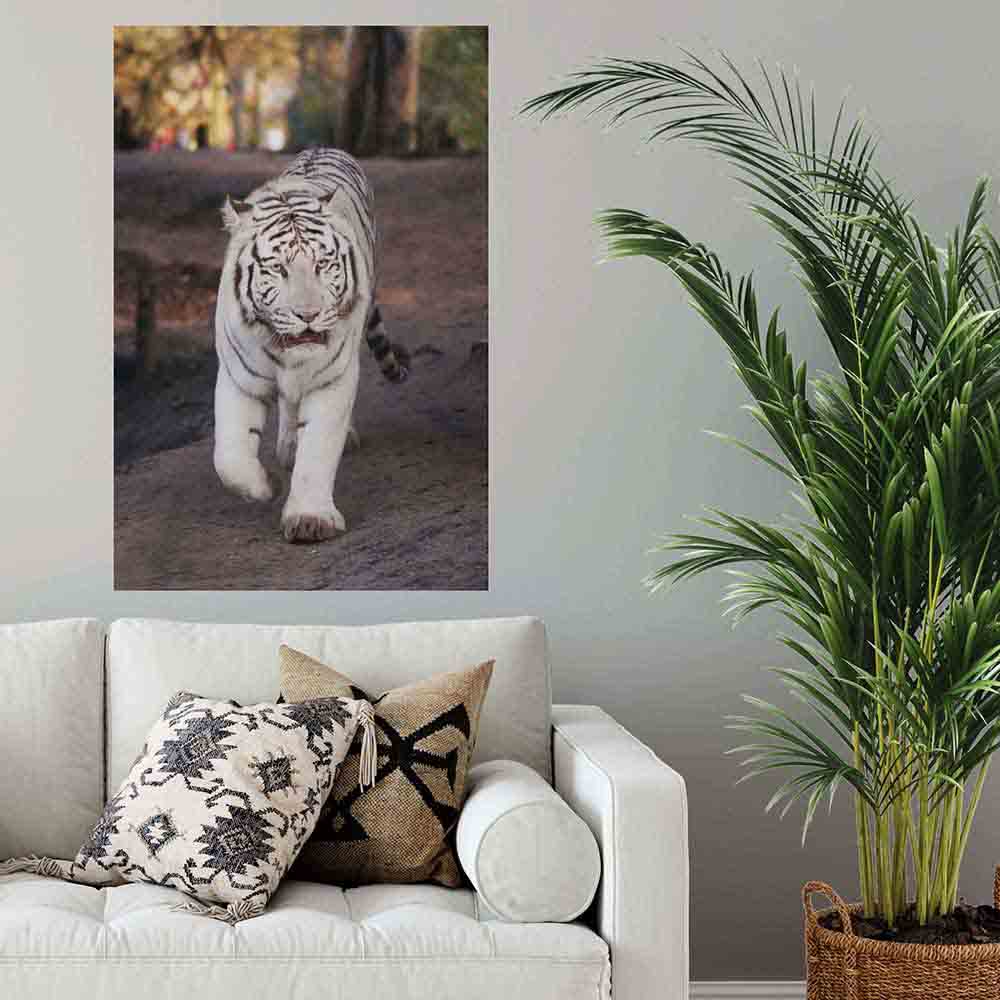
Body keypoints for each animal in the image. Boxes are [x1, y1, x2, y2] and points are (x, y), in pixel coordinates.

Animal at [213, 147, 407, 544]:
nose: (309, 315)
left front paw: (310, 519)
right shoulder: (239, 379)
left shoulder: (330, 380)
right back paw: (287, 449)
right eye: (278, 269)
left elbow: (318, 448)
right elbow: (228, 457)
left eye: (323, 264)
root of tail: (324, 148)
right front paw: (266, 485)